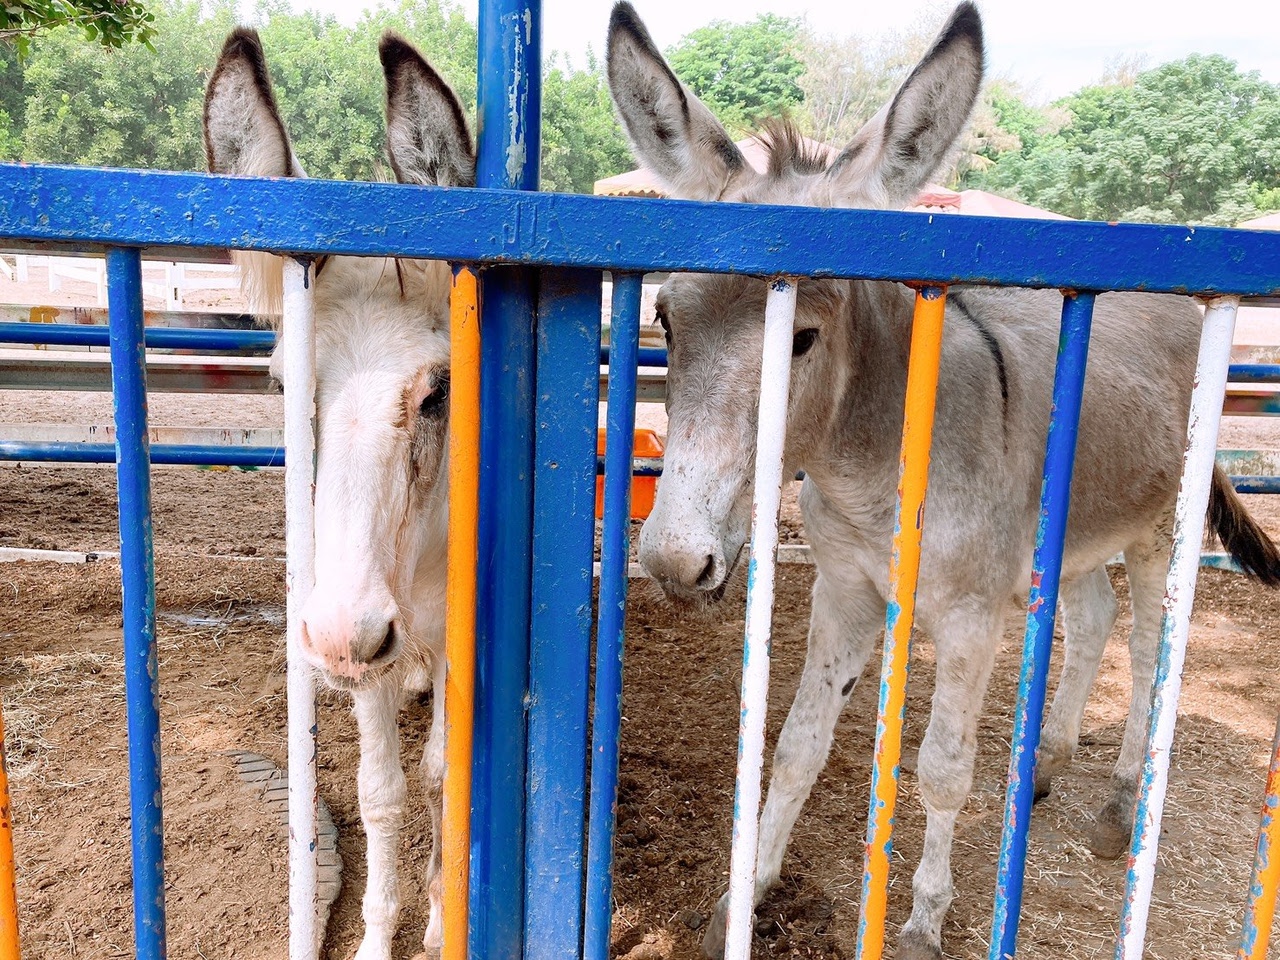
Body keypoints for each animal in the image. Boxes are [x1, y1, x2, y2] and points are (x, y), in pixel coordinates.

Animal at [204, 28, 473, 959]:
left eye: (438, 391)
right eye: (285, 385)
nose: (339, 637)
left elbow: (439, 778)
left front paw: (440, 920)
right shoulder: (368, 657)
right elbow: (380, 794)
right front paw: (379, 936)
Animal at [605, 3, 1280, 957]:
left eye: (803, 337)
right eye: (666, 317)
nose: (672, 561)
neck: (870, 474)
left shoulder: (967, 614)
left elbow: (942, 769)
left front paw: (923, 917)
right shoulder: (846, 588)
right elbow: (797, 745)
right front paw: (745, 898)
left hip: (1158, 530)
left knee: (1151, 644)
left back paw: (1118, 805)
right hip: (1075, 528)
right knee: (1093, 616)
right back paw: (1046, 766)